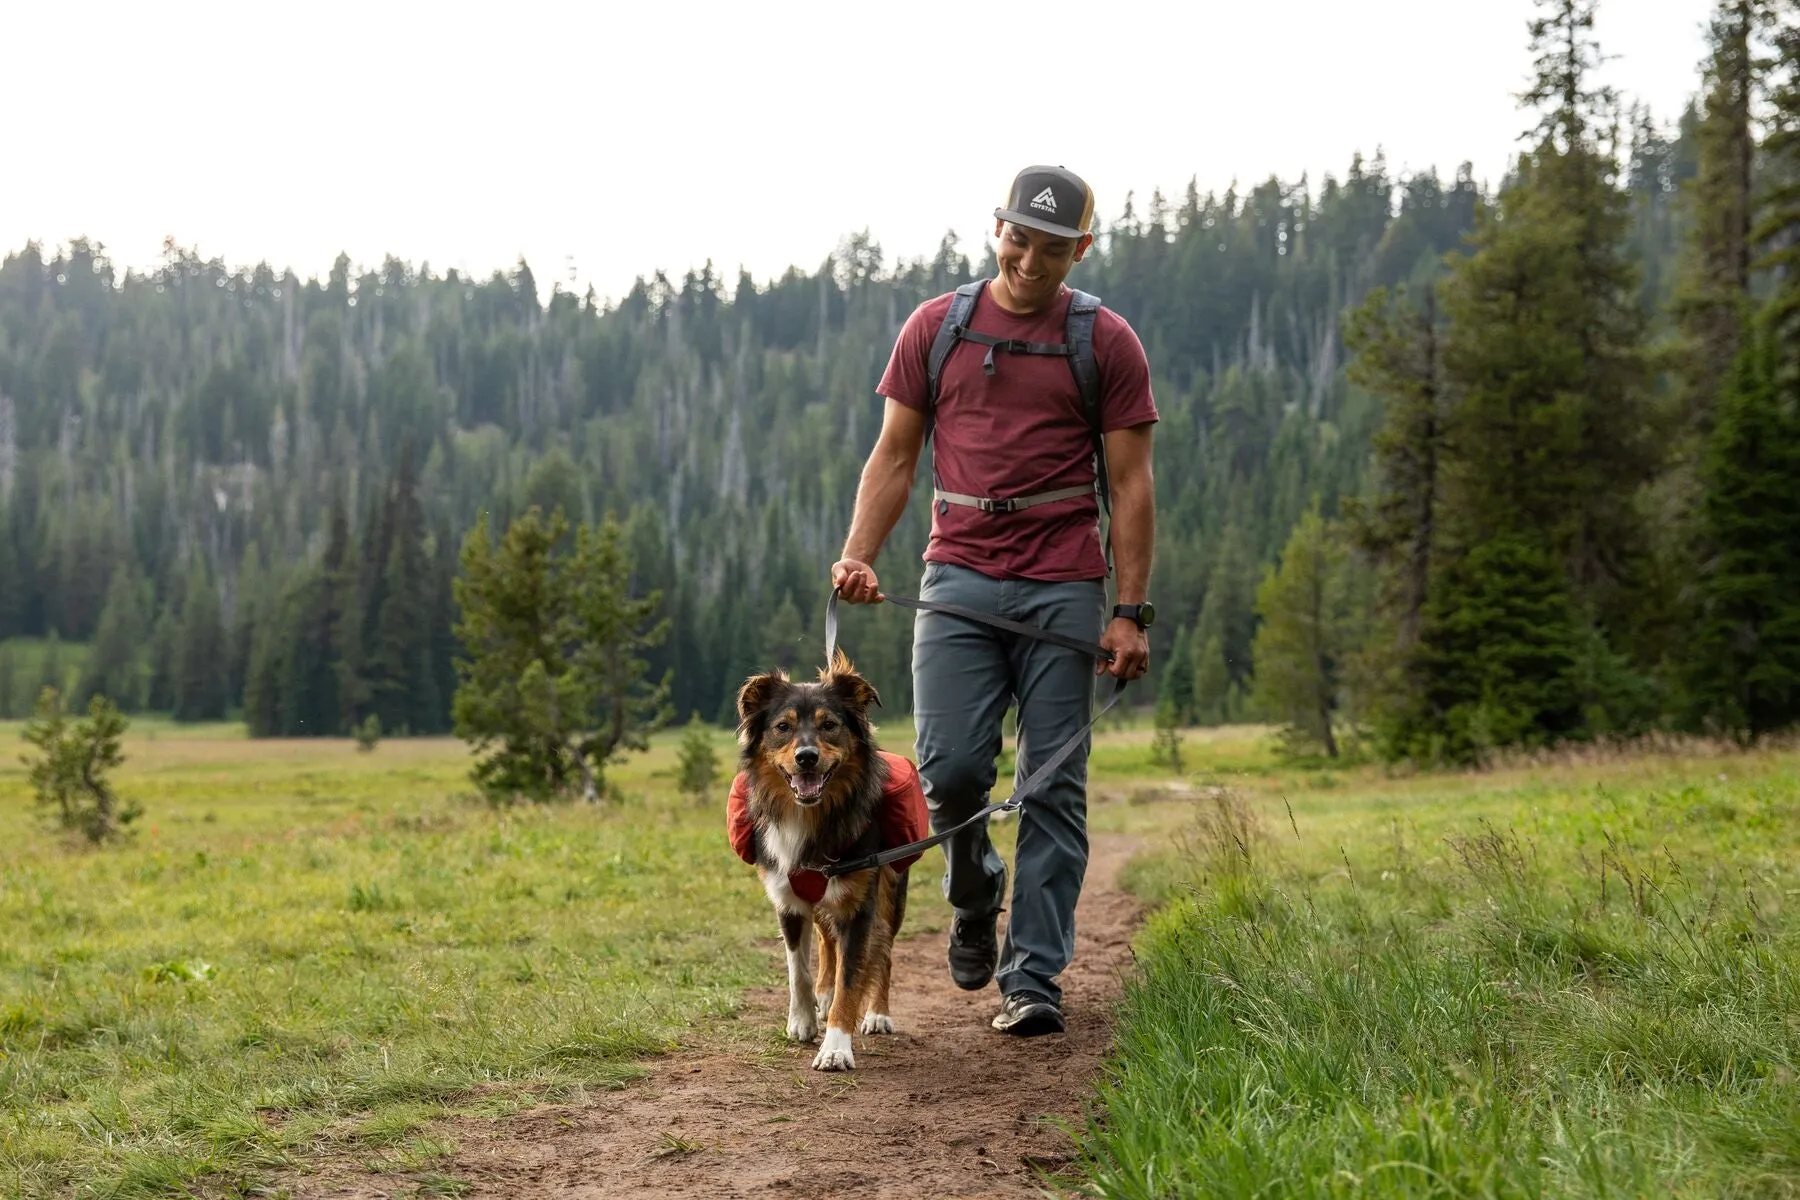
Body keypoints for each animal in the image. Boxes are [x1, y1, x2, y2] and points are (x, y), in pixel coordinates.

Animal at [730, 651, 928, 1072]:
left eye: (830, 725)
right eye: (783, 727)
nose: (806, 758)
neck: (811, 818)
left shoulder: (859, 905)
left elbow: (851, 980)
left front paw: (836, 1046)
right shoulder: (787, 900)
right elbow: (798, 970)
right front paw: (803, 1019)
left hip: (891, 893)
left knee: (883, 948)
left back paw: (877, 1013)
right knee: (825, 940)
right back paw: (823, 994)